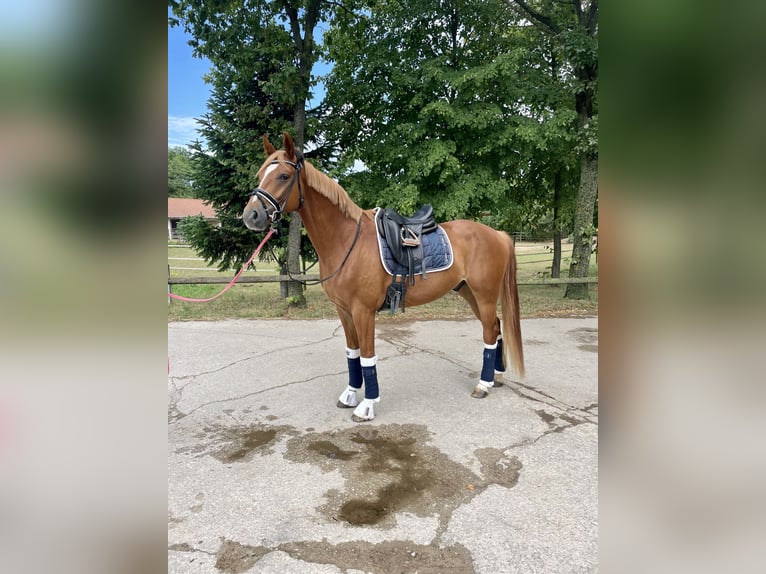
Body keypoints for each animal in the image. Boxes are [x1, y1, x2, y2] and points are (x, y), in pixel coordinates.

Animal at [242, 132, 524, 422]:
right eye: (261, 174)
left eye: (283, 176)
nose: (251, 216)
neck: (347, 241)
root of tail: (498, 234)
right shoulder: (344, 311)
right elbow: (352, 353)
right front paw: (350, 395)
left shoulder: (363, 311)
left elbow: (367, 357)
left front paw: (367, 406)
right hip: (469, 292)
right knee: (496, 328)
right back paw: (496, 377)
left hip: (485, 295)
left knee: (490, 333)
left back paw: (483, 384)